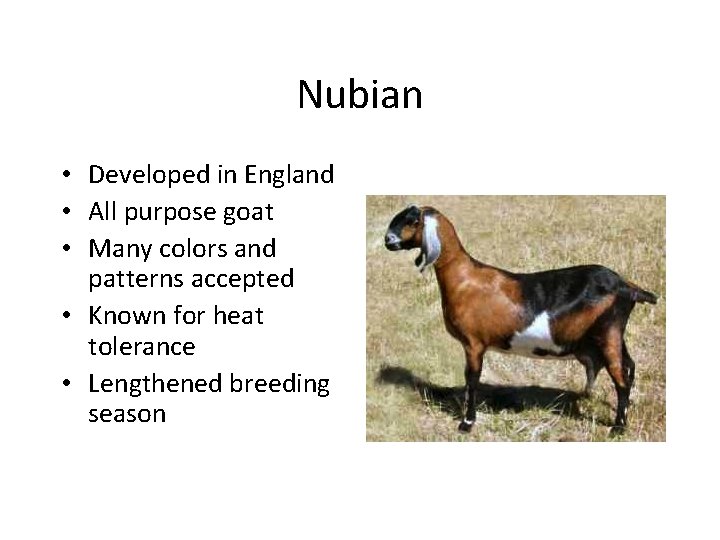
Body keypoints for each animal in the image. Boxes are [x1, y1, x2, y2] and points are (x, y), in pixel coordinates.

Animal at [384, 204, 658, 434]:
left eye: (411, 220)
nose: (387, 240)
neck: (464, 278)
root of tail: (626, 286)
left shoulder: (473, 344)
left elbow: (472, 380)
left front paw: (467, 423)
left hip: (608, 333)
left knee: (621, 378)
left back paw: (618, 428)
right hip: (612, 334)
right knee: (630, 367)